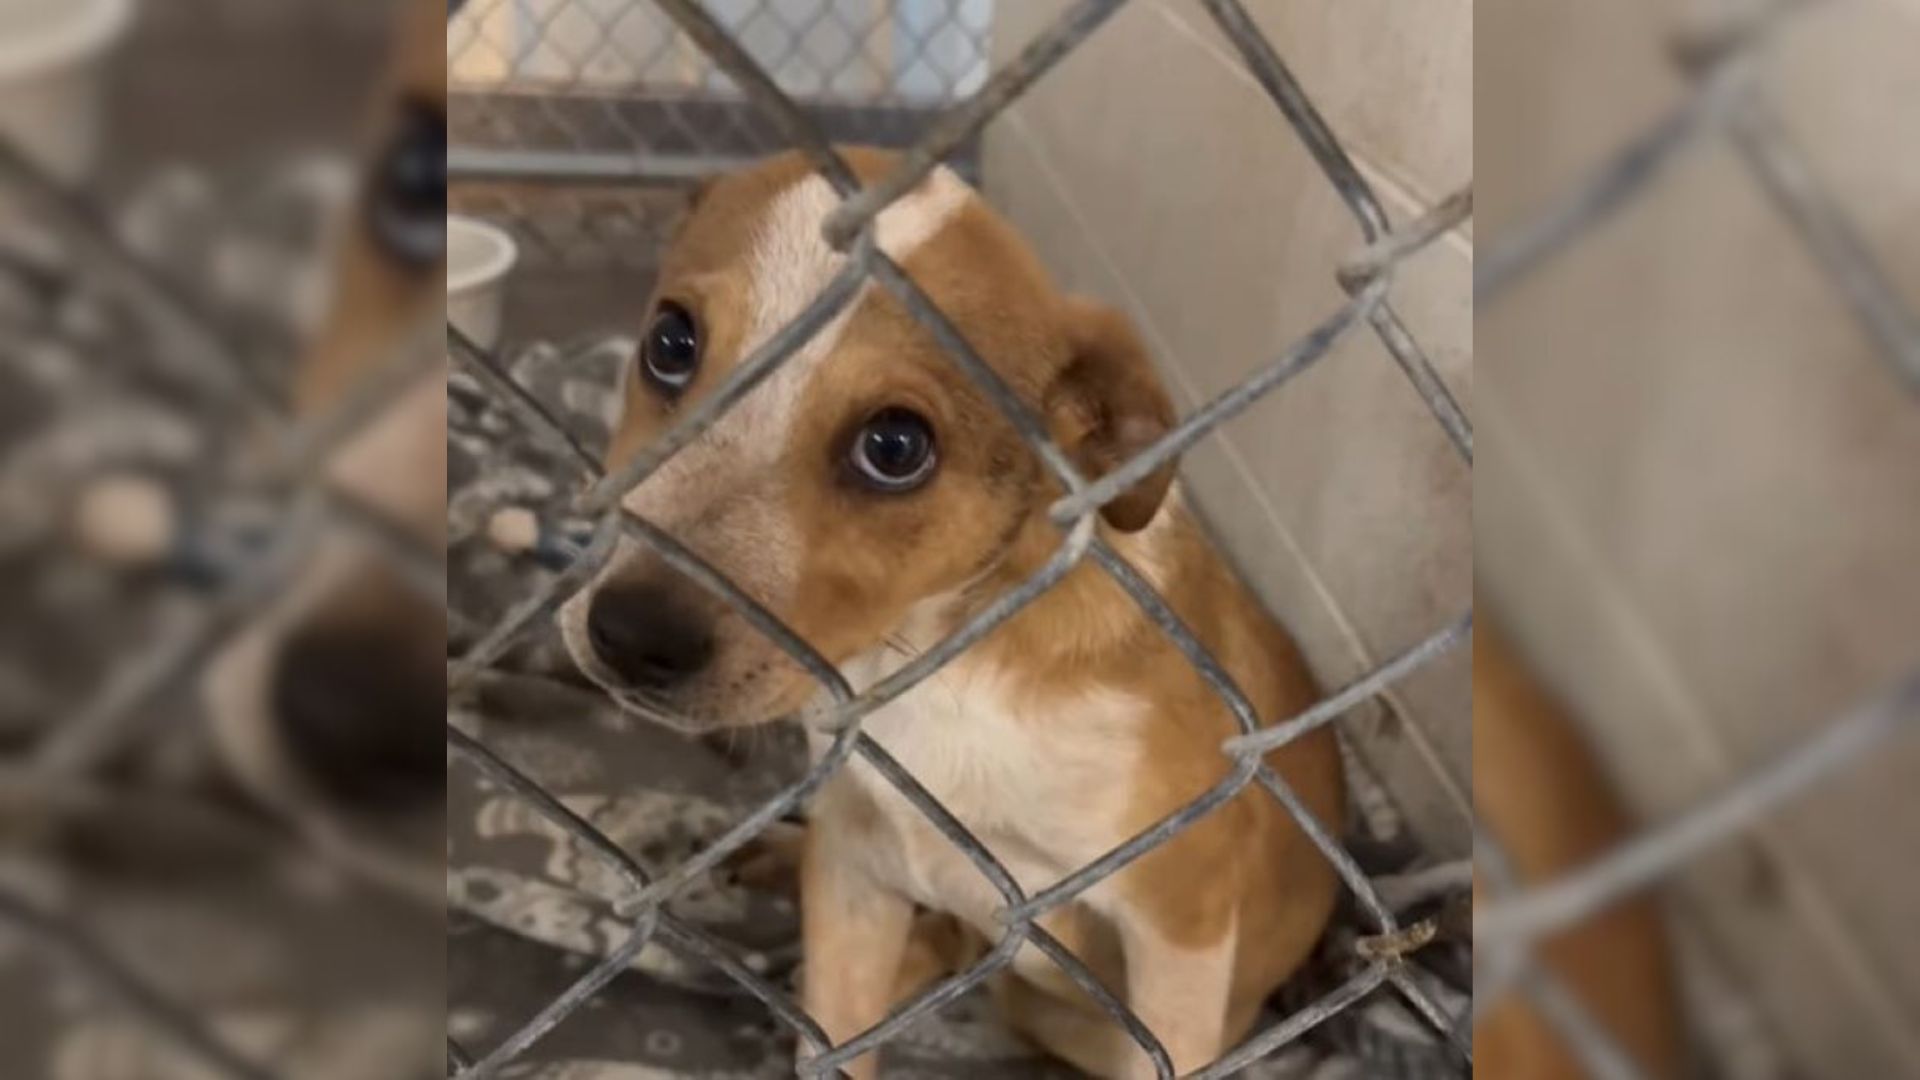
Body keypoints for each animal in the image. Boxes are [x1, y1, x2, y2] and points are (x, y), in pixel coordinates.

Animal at [560, 147, 1344, 1068]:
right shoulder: (857, 869)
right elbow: (836, 1038)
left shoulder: (1181, 914)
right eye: (671, 344)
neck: (946, 668)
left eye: (896, 446)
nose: (630, 634)